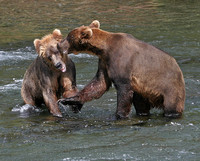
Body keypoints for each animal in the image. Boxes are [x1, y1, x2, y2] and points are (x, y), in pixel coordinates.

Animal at [57, 19, 186, 118]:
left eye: (69, 37)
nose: (59, 44)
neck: (104, 49)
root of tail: (179, 68)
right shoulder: (105, 62)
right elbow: (99, 83)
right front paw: (70, 100)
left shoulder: (122, 62)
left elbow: (123, 90)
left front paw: (119, 115)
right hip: (143, 92)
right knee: (141, 105)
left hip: (170, 86)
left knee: (172, 106)